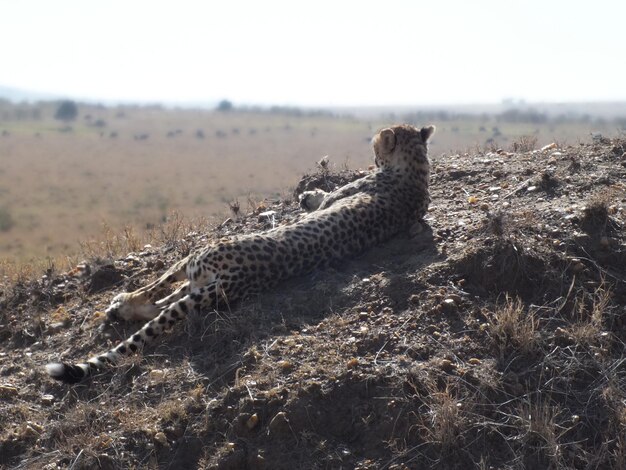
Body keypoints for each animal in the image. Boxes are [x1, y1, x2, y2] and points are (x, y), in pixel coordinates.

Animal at [45, 124, 434, 382]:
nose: (373, 152)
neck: (415, 170)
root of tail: (239, 279)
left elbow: (322, 199)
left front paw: (308, 196)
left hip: (197, 257)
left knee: (159, 292)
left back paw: (121, 304)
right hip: (202, 281)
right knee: (169, 300)